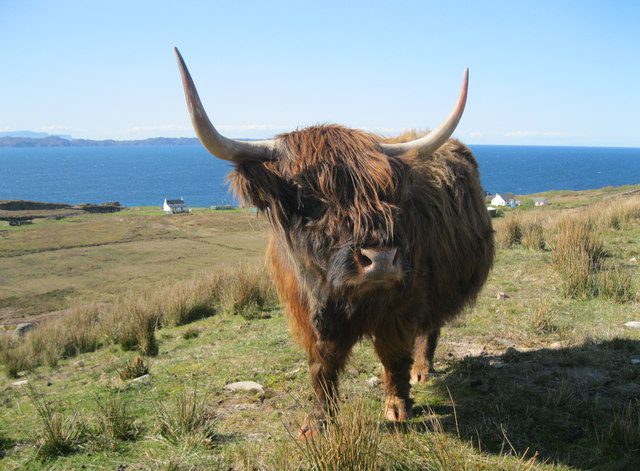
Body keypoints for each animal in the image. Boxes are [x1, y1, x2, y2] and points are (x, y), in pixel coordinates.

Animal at [174, 48, 496, 438]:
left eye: (386, 191)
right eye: (306, 195)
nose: (381, 260)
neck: (333, 292)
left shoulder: (401, 304)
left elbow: (393, 355)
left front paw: (397, 406)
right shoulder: (308, 315)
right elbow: (321, 365)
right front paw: (318, 421)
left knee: (429, 327)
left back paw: (422, 370)